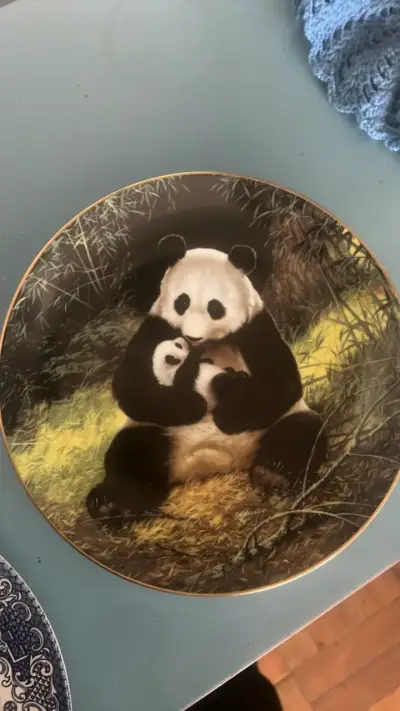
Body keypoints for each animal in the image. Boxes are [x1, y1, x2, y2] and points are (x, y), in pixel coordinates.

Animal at [86, 236, 327, 522]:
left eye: (215, 307)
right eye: (182, 302)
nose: (192, 336)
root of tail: (215, 462)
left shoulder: (255, 326)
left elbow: (281, 382)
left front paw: (227, 412)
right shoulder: (156, 326)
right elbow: (131, 386)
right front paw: (193, 403)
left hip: (271, 427)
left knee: (300, 432)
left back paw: (272, 476)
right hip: (162, 434)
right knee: (132, 450)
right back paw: (113, 504)